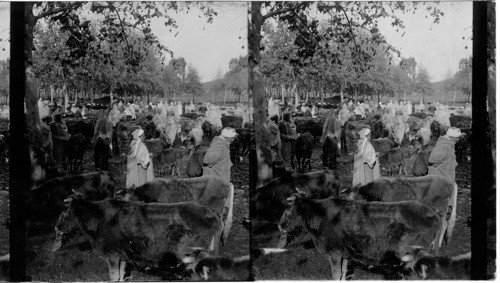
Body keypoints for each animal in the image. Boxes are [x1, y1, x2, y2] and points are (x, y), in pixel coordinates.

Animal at [54, 199, 221, 282]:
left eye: (64, 211)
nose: (56, 227)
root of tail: (213, 214)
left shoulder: (112, 255)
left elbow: (114, 277)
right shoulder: (122, 256)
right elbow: (121, 275)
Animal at [286, 194, 442, 280]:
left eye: (287, 206)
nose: (283, 227)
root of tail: (430, 210)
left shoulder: (334, 253)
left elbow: (336, 275)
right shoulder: (345, 254)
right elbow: (343, 273)